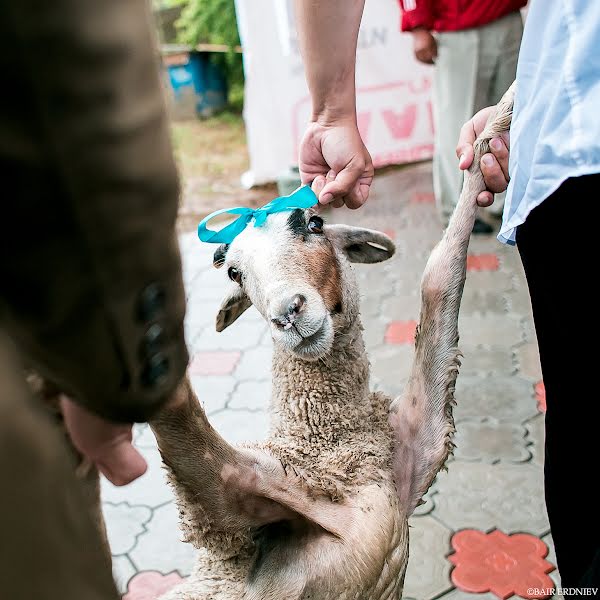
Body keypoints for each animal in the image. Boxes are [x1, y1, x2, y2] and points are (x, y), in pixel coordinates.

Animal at [149, 83, 516, 596]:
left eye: (314, 223)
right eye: (235, 271)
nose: (288, 313)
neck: (328, 444)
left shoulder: (419, 450)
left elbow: (440, 278)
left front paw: (500, 116)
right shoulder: (228, 501)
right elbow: (181, 424)